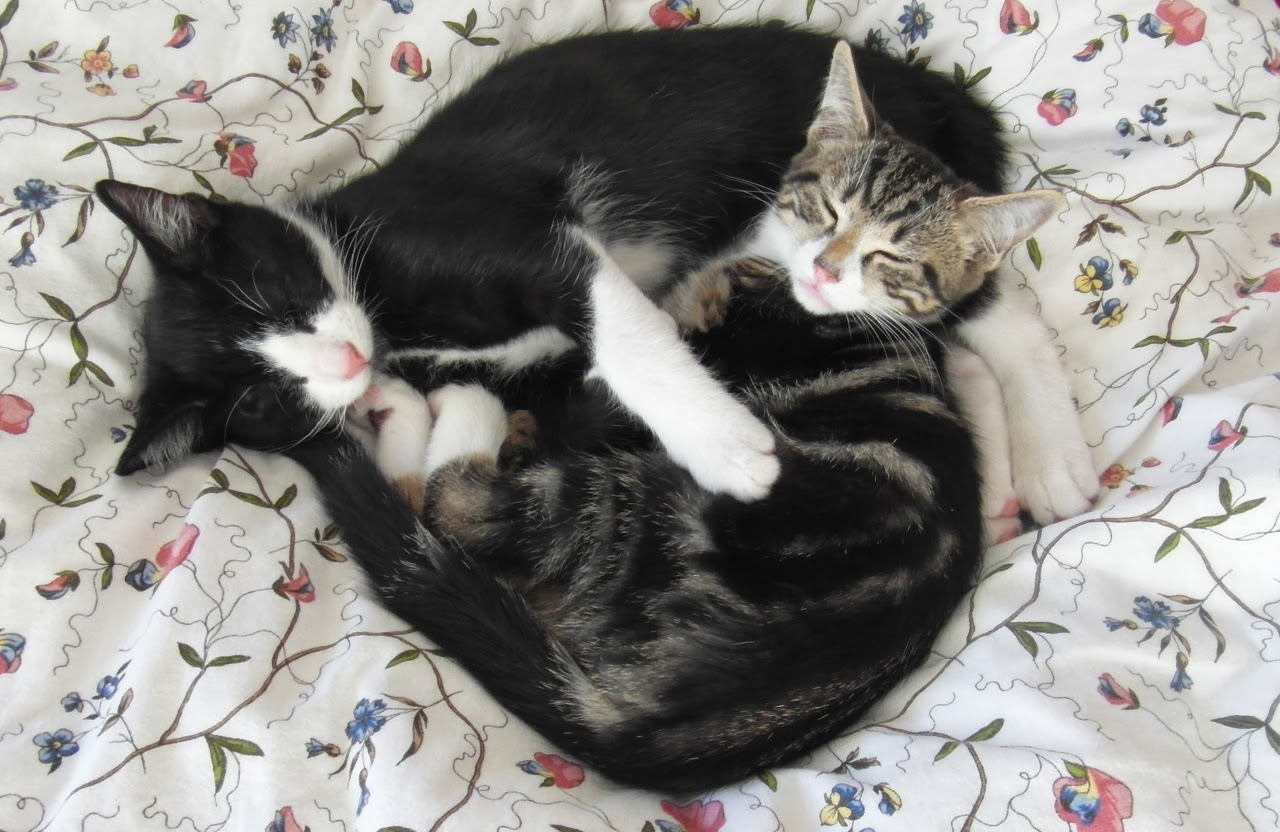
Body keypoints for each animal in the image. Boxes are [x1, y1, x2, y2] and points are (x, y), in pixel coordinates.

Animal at [96, 25, 1096, 522]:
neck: (385, 306)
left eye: (277, 295)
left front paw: (727, 450)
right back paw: (1000, 486)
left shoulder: (525, 235)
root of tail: (931, 88)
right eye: (264, 399)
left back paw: (1052, 466)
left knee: (990, 309)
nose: (341, 366)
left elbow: (624, 331)